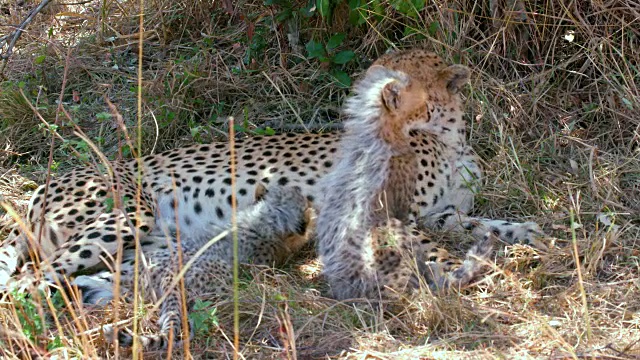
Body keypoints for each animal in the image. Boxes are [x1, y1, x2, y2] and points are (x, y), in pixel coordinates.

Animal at [0, 47, 544, 290]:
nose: (371, 95)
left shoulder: (442, 214)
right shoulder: (388, 212)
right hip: (127, 213)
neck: (444, 134)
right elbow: (434, 245)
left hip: (156, 251)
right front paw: (459, 269)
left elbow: (485, 223)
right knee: (27, 282)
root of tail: (41, 187)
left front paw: (529, 234)